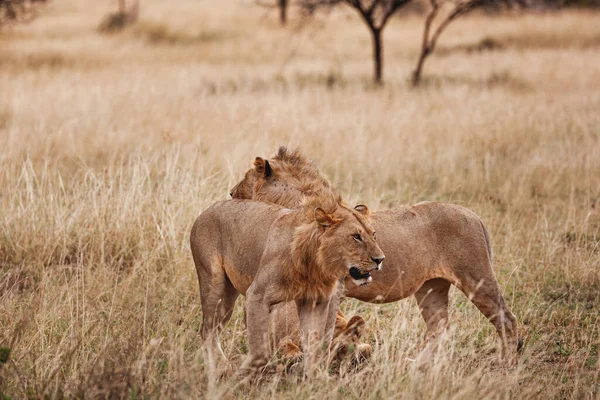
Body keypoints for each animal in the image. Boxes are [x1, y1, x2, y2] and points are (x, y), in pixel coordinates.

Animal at [230, 147, 520, 362]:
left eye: (244, 178)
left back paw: (505, 364)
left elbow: (323, 330)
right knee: (439, 330)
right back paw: (417, 368)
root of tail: (474, 215)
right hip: (431, 288)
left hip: (476, 277)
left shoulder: (335, 289)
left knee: (506, 320)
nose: (230, 193)